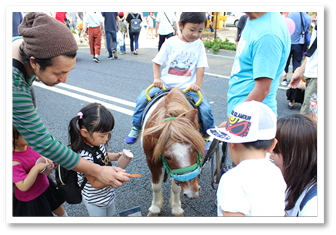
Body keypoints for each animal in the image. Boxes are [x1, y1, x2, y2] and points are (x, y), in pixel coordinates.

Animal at [140, 86, 205, 217]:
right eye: (167, 157)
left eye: (195, 150)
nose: (192, 193)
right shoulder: (151, 161)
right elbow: (156, 186)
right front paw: (155, 208)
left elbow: (176, 187)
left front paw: (176, 209)